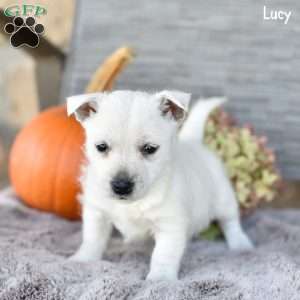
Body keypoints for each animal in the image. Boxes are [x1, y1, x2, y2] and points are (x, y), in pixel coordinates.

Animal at [67, 91, 252, 282]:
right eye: (101, 147)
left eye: (150, 148)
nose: (121, 186)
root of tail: (194, 142)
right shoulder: (97, 212)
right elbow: (92, 238)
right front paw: (83, 259)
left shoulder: (170, 225)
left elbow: (163, 254)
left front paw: (160, 279)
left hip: (224, 199)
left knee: (230, 222)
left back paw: (241, 244)